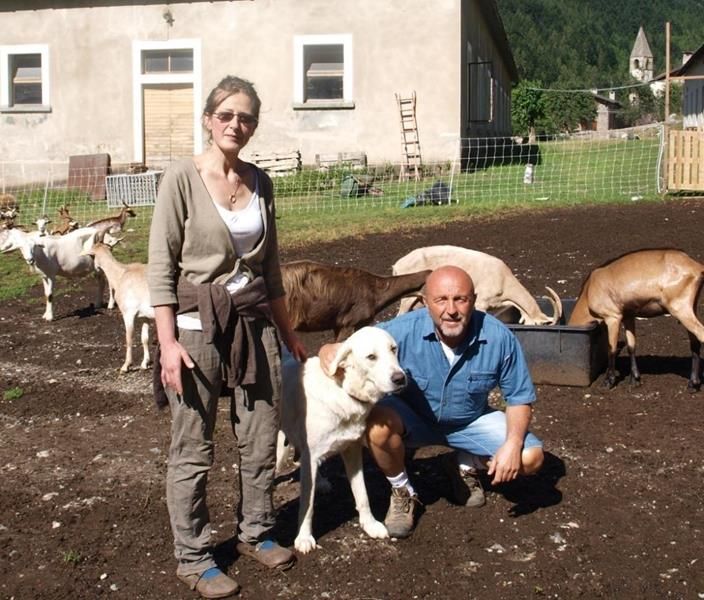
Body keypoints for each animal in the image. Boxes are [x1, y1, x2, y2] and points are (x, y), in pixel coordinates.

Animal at [82, 237, 154, 372]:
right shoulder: (145, 316)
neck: (122, 274)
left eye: (91, 256)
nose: (95, 271)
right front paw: (145, 363)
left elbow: (129, 338)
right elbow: (145, 338)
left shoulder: (128, 313)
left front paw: (126, 365)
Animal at [279, 326, 407, 554]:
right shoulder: (312, 457)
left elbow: (362, 494)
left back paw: (320, 481)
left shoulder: (352, 451)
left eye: (393, 349)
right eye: (371, 357)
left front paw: (370, 525)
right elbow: (307, 505)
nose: (400, 378)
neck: (343, 391)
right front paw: (304, 537)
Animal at [567, 248, 704, 390]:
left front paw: (608, 381)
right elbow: (631, 346)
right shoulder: (628, 317)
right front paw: (635, 380)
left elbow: (611, 349)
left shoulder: (613, 317)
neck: (589, 290)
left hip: (680, 309)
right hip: (690, 310)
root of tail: (696, 267)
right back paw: (693, 384)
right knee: (695, 343)